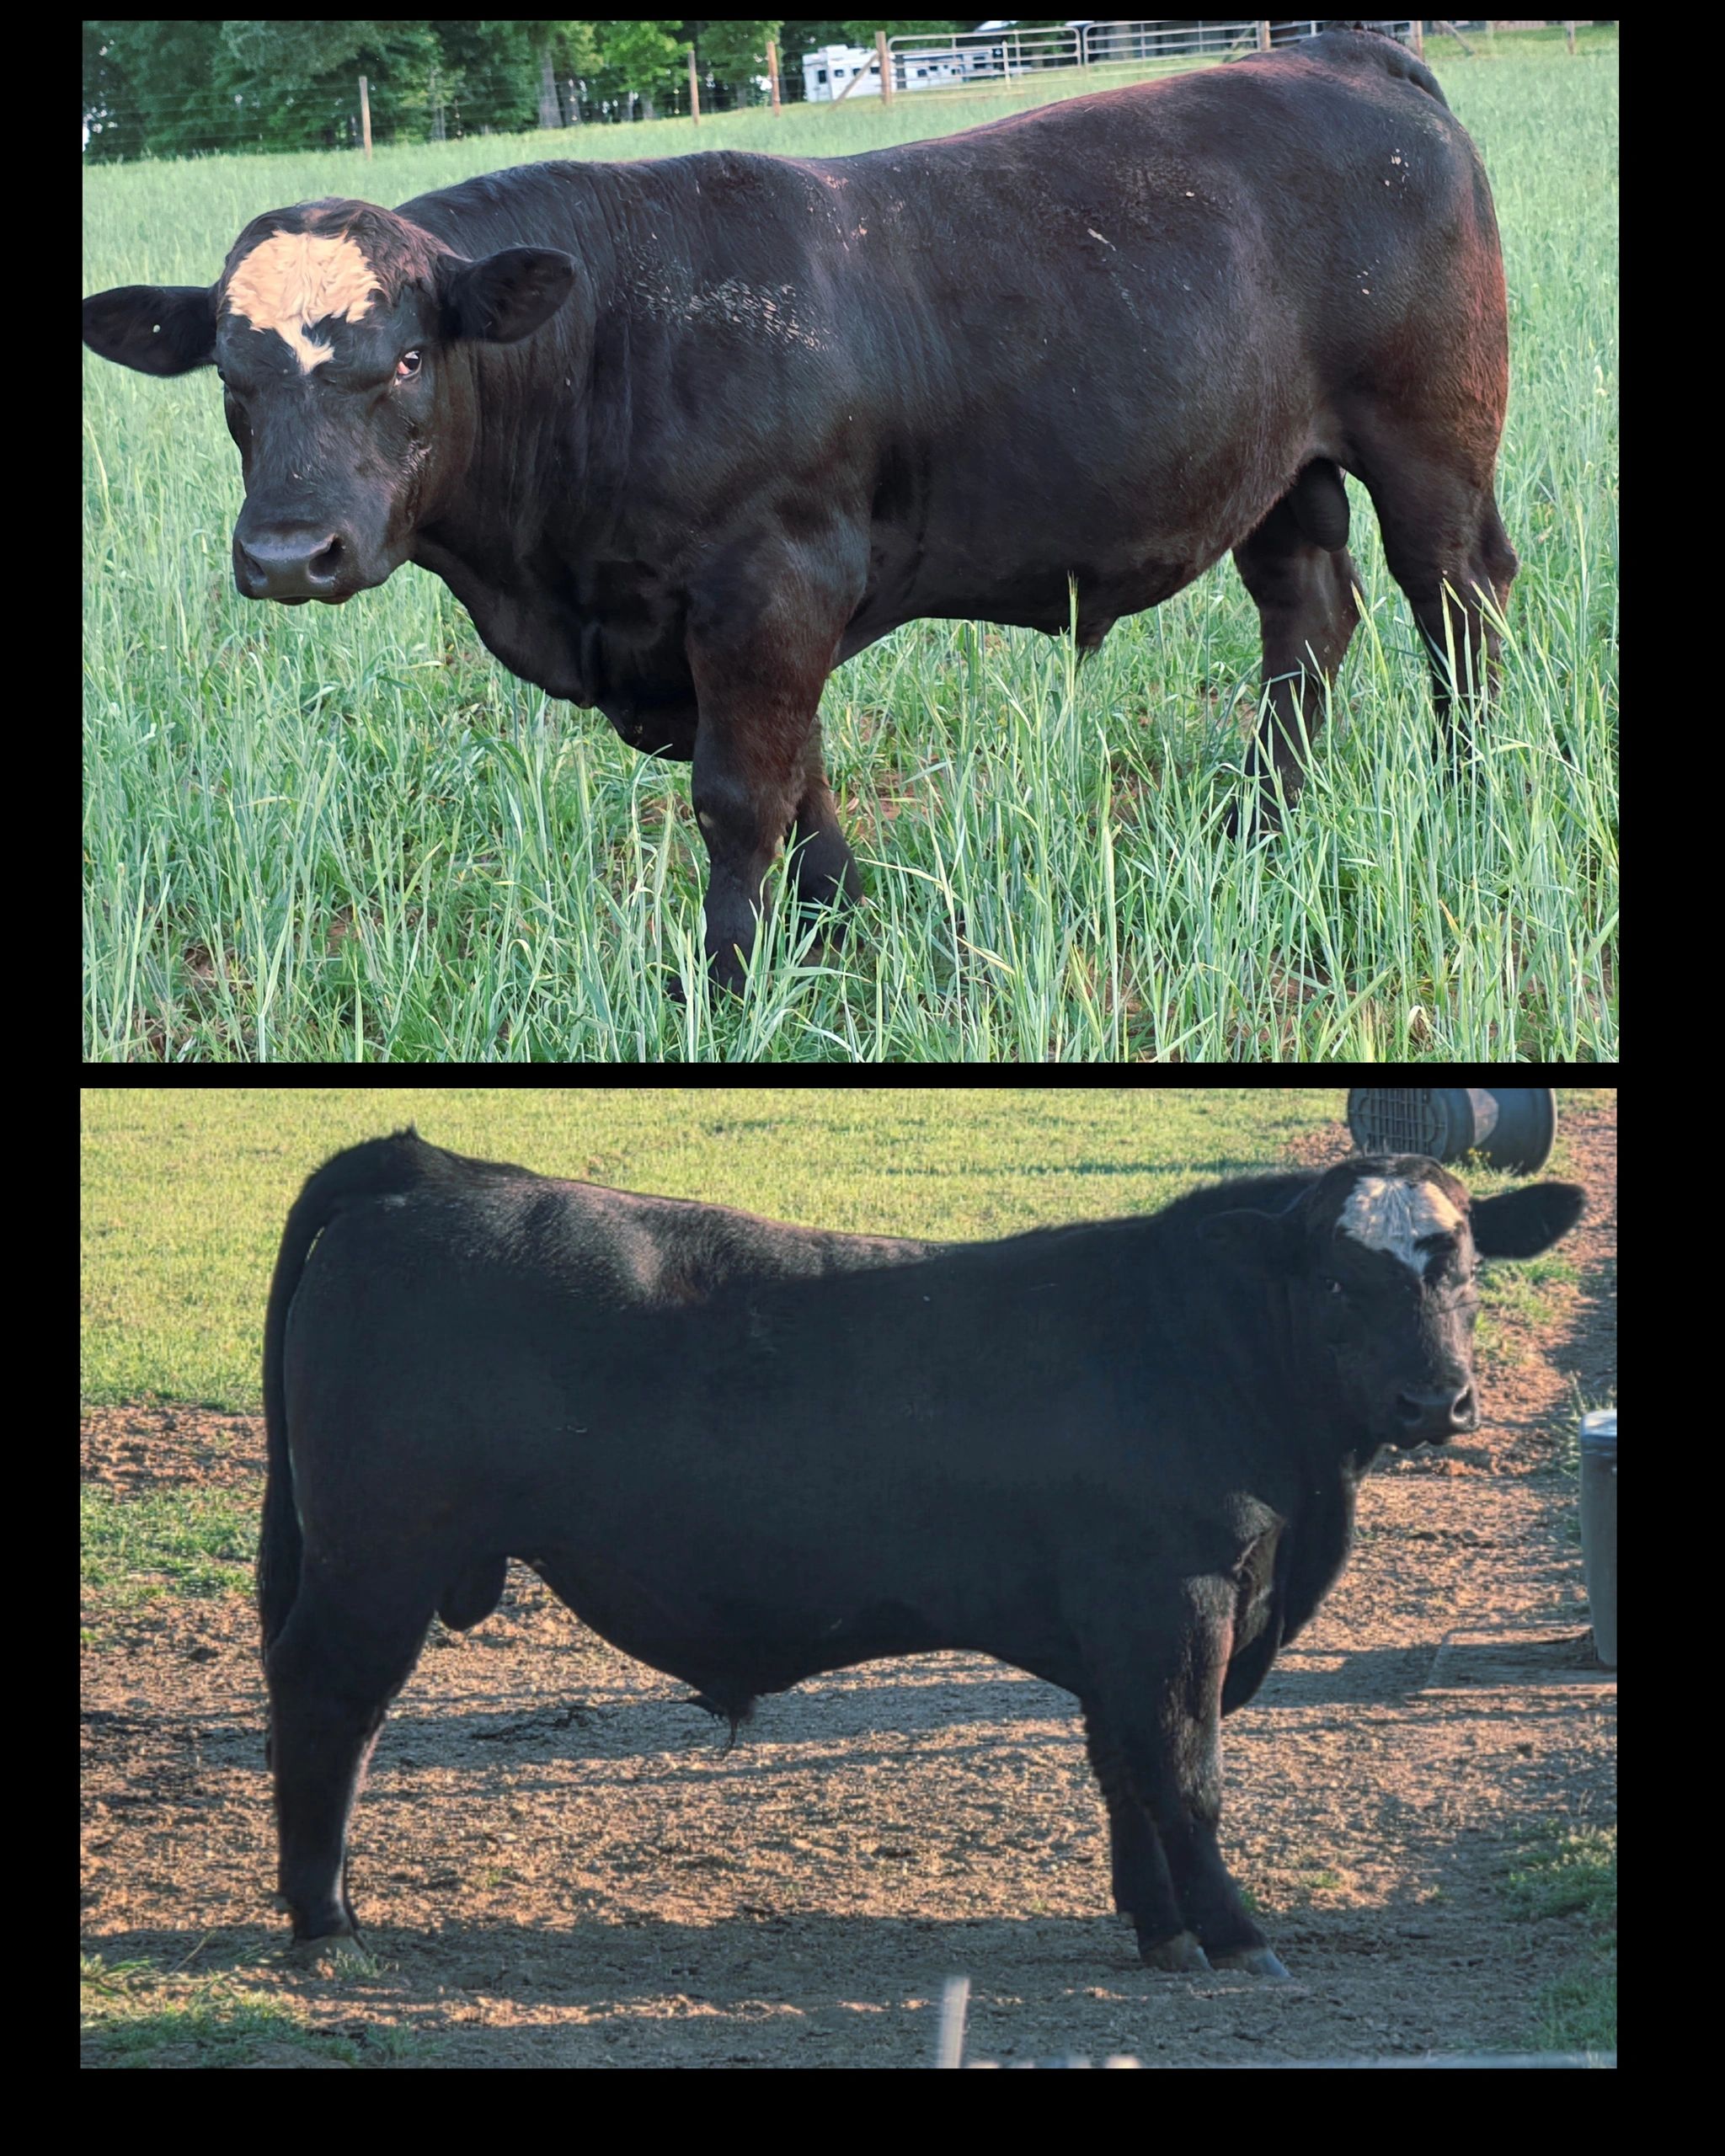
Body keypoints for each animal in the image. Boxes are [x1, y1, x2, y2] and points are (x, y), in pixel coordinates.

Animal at [82, 32, 1515, 996]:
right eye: (231, 378)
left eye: (412, 359)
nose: (290, 552)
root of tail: (1340, 56)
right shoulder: (728, 623)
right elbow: (801, 777)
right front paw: (835, 935)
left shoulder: (765, 586)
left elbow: (738, 792)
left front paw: (727, 979)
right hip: (1272, 468)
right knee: (1307, 616)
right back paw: (1259, 823)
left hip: (1430, 440)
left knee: (1458, 599)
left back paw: (1471, 791)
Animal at [257, 1130, 1582, 1971]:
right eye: (1341, 1283)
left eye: (1464, 1270)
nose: (1437, 1401)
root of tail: (432, 1170)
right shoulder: (1176, 1600)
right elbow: (1185, 1772)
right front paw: (1238, 1933)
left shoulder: (1114, 1625)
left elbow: (1125, 1775)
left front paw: (1161, 1932)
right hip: (378, 1561)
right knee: (330, 1706)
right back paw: (328, 1925)